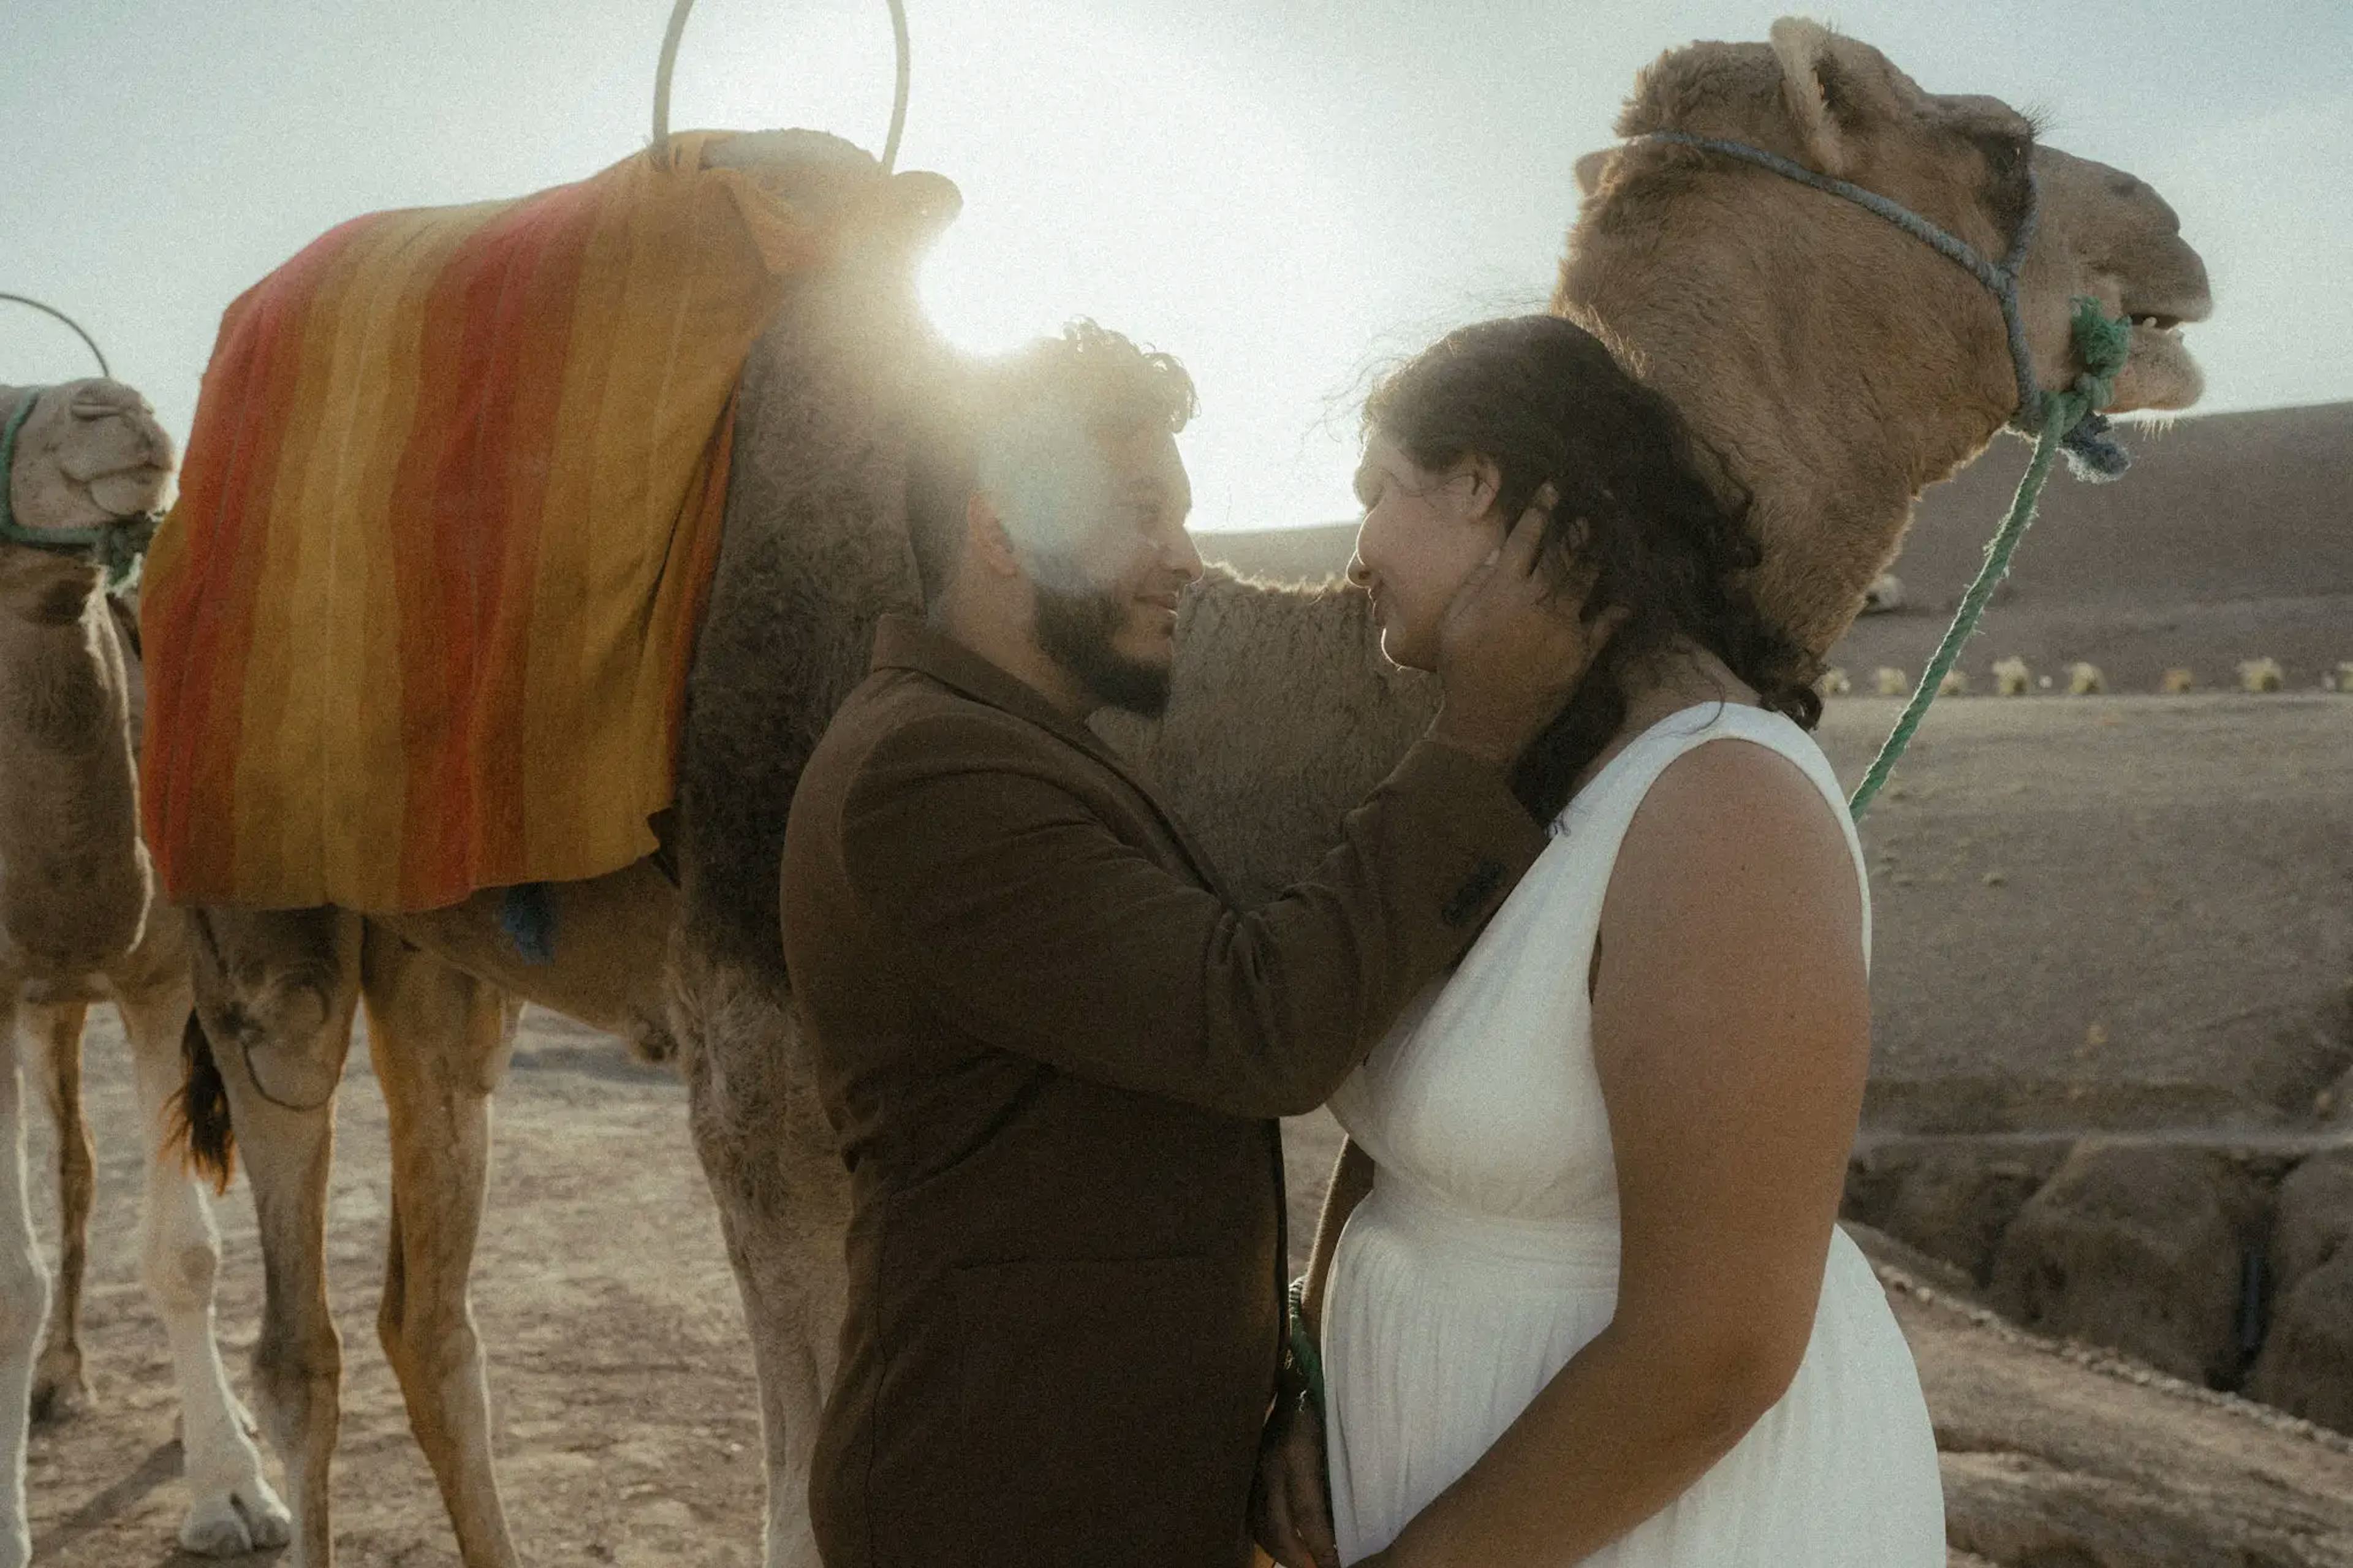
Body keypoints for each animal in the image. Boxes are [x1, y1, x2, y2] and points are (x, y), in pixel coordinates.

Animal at [170, 24, 2202, 1563]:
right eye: (1998, 142)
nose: (2177, 241)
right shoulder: (761, 1052)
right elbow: (807, 1497)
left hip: (445, 958)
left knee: (431, 1309)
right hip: (258, 902)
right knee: (297, 1317)